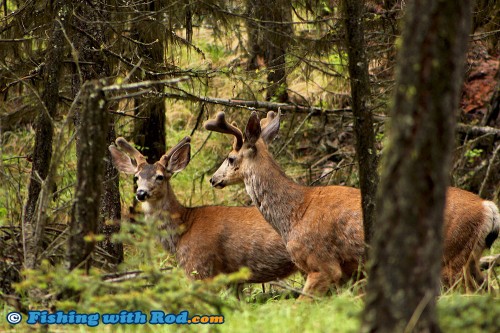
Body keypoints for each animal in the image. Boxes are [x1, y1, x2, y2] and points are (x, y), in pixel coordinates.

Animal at [204, 109, 500, 296]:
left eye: (231, 158)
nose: (213, 179)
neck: (294, 213)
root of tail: (488, 208)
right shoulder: (348, 273)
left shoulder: (323, 265)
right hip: (471, 260)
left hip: (451, 257)